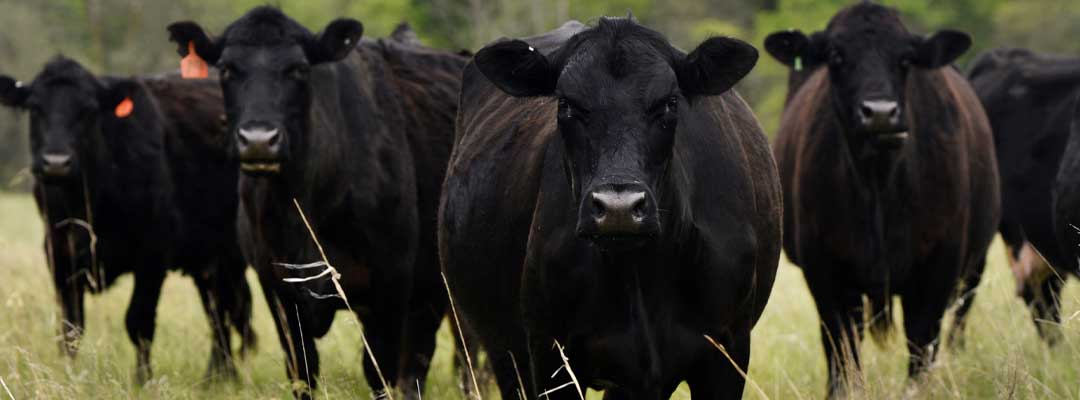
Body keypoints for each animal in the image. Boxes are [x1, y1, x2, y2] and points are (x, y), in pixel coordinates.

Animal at [0, 57, 254, 382]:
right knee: (218, 310)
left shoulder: (153, 255)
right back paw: (218, 377)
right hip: (208, 259)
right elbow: (70, 328)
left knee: (224, 311)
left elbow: (139, 322)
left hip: (230, 254)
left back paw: (219, 377)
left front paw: (143, 380)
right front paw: (69, 376)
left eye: (89, 110)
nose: (56, 162)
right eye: (35, 107)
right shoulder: (59, 255)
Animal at [169, 7, 468, 399]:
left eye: (298, 69)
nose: (259, 140)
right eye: (227, 69)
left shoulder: (391, 284)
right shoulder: (277, 289)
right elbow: (303, 369)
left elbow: (380, 373)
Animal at [440, 17, 786, 397]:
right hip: (505, 354)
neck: (641, 274)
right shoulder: (548, 354)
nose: (618, 207)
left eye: (669, 103)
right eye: (566, 104)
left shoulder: (728, 350)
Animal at [764, 3, 997, 397]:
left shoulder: (940, 264)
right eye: (836, 56)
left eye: (905, 59)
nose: (880, 113)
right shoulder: (823, 270)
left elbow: (921, 344)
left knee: (958, 321)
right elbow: (841, 349)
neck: (878, 185)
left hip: (976, 264)